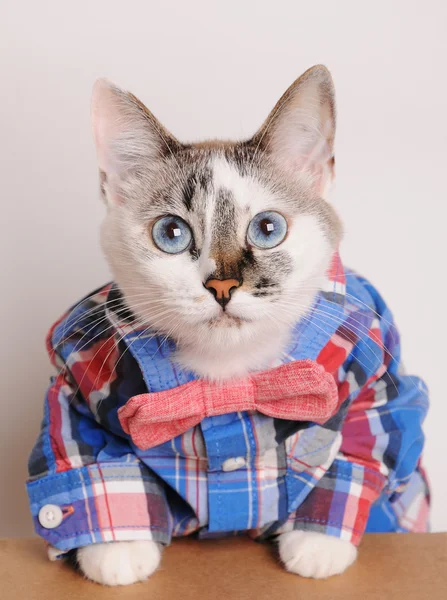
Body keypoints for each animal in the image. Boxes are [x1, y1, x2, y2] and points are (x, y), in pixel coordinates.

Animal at [27, 67, 430, 584]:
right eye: (171, 233)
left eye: (268, 228)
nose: (221, 284)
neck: (229, 373)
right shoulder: (80, 367)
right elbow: (83, 452)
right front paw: (117, 547)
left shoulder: (377, 364)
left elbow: (366, 440)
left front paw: (317, 541)